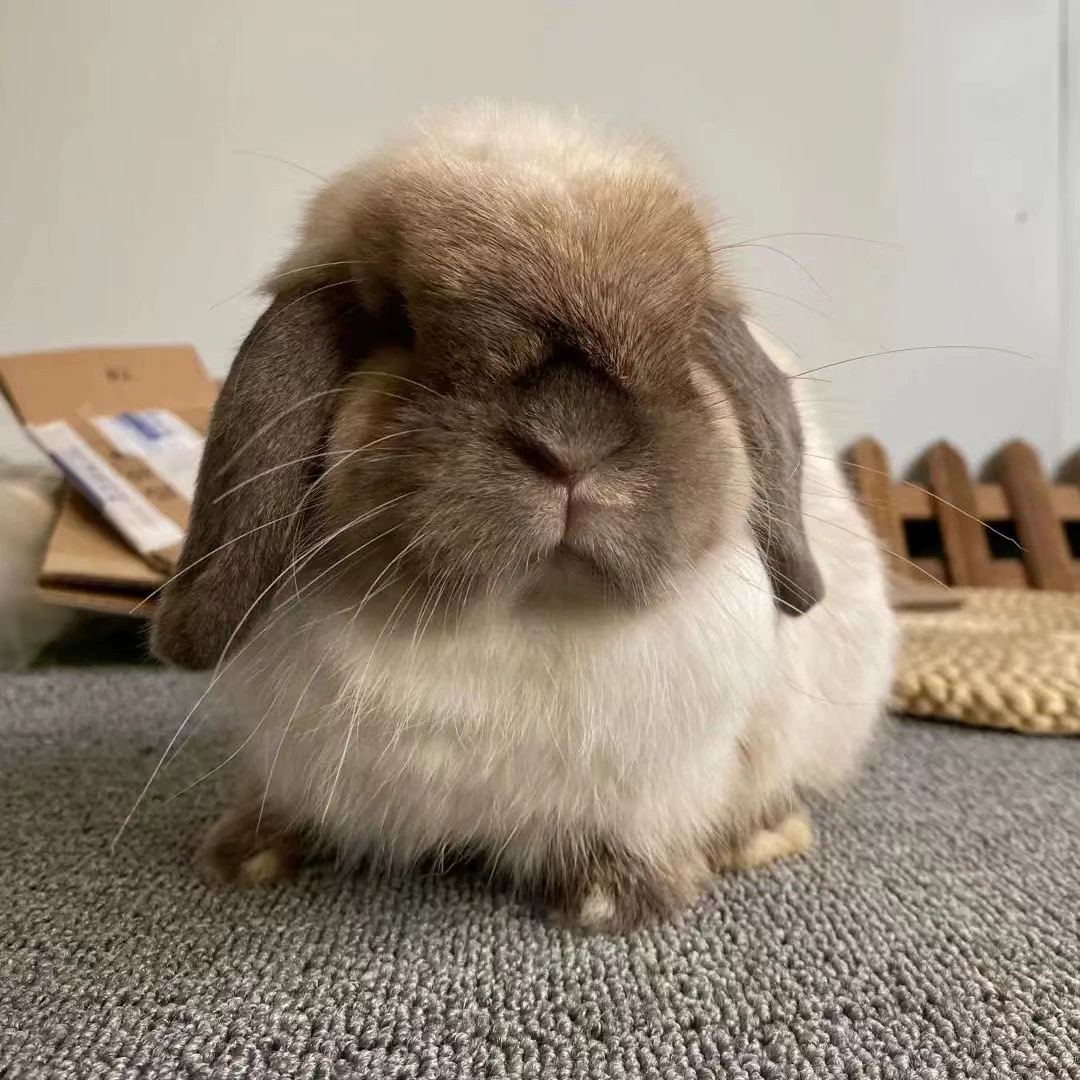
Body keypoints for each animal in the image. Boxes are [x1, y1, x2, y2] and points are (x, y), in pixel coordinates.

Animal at [152, 102, 897, 931]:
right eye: (401, 324)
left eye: (683, 342)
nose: (571, 445)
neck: (518, 615)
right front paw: (244, 855)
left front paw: (612, 899)